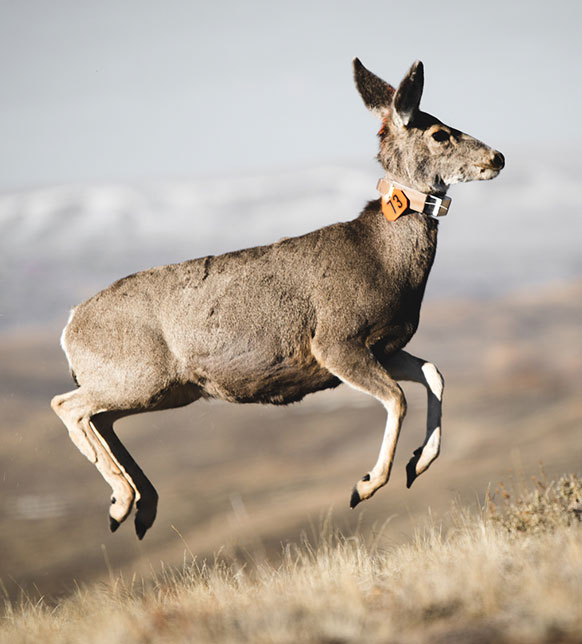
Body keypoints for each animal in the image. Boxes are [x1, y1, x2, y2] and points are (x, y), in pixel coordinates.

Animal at [51, 59, 504, 539]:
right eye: (439, 133)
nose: (497, 157)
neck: (383, 259)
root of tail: (69, 325)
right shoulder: (336, 342)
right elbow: (397, 398)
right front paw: (364, 485)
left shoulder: (382, 346)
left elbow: (434, 374)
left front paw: (418, 464)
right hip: (139, 377)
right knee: (68, 405)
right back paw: (121, 501)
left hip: (161, 389)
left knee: (101, 417)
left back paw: (141, 505)